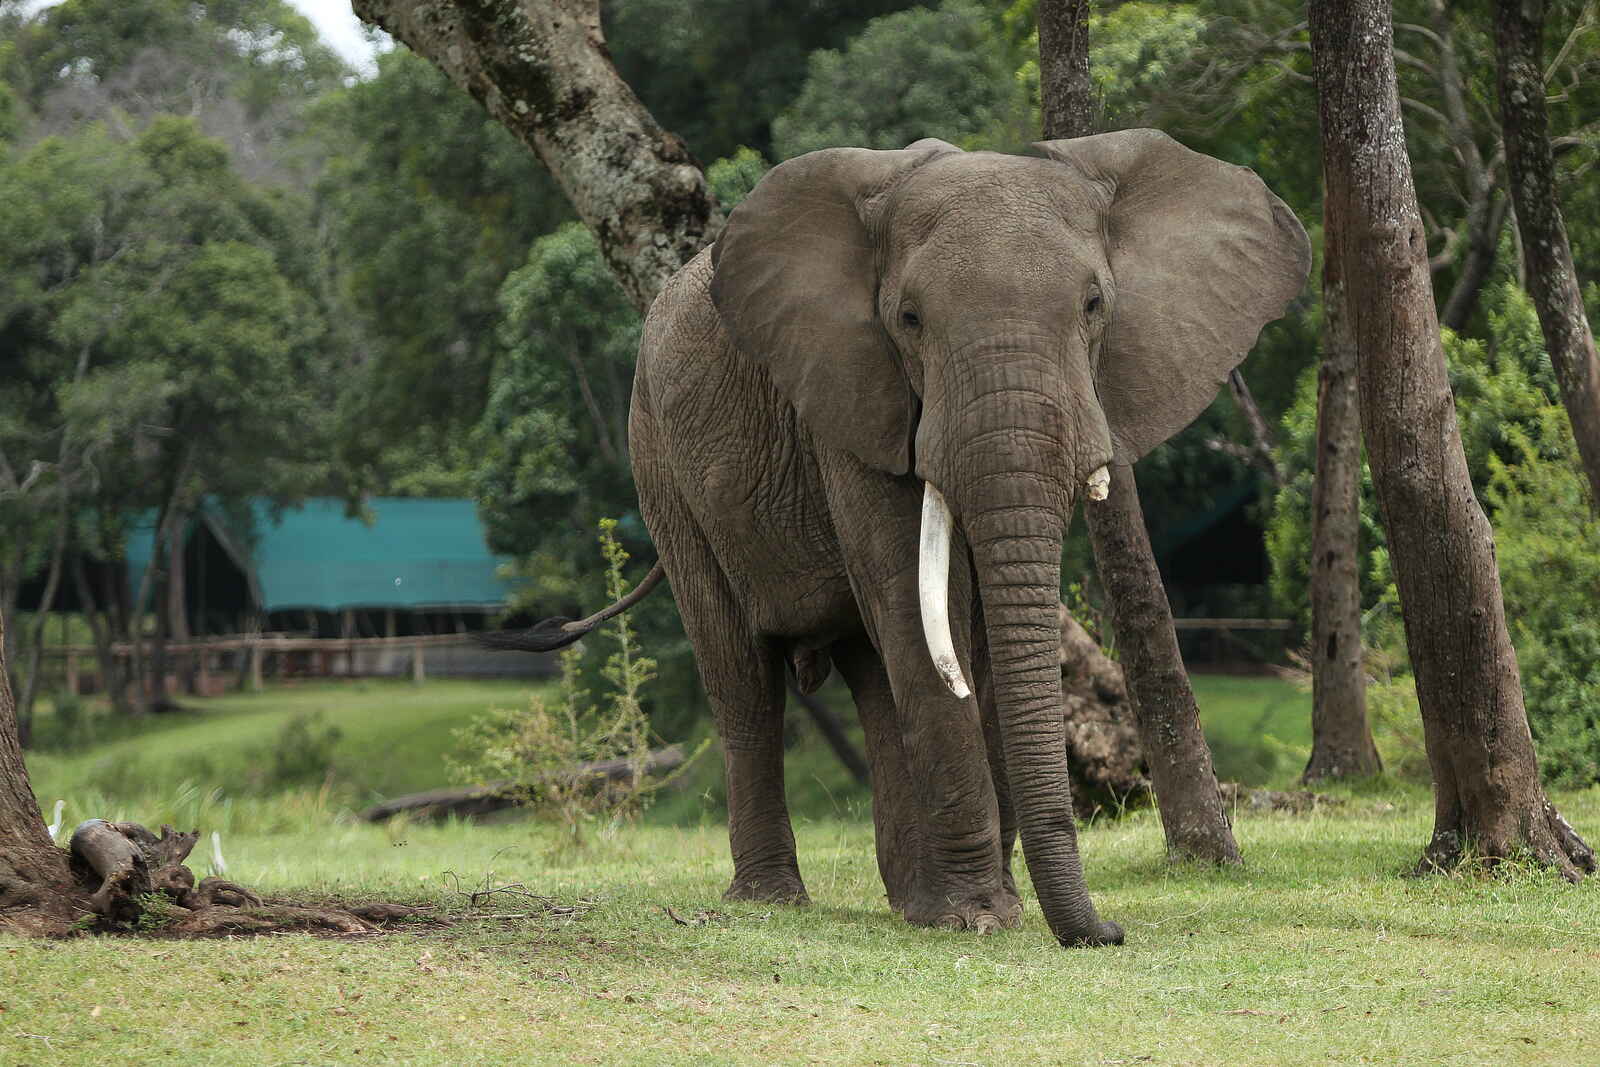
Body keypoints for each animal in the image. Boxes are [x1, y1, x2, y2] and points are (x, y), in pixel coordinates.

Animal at [503, 129, 1309, 947]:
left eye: (1094, 305)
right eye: (910, 319)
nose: (1109, 932)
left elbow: (969, 634)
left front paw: (980, 909)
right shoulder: (852, 394)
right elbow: (921, 604)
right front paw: (978, 916)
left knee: (870, 670)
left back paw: (904, 901)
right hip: (661, 468)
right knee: (745, 680)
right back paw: (774, 900)